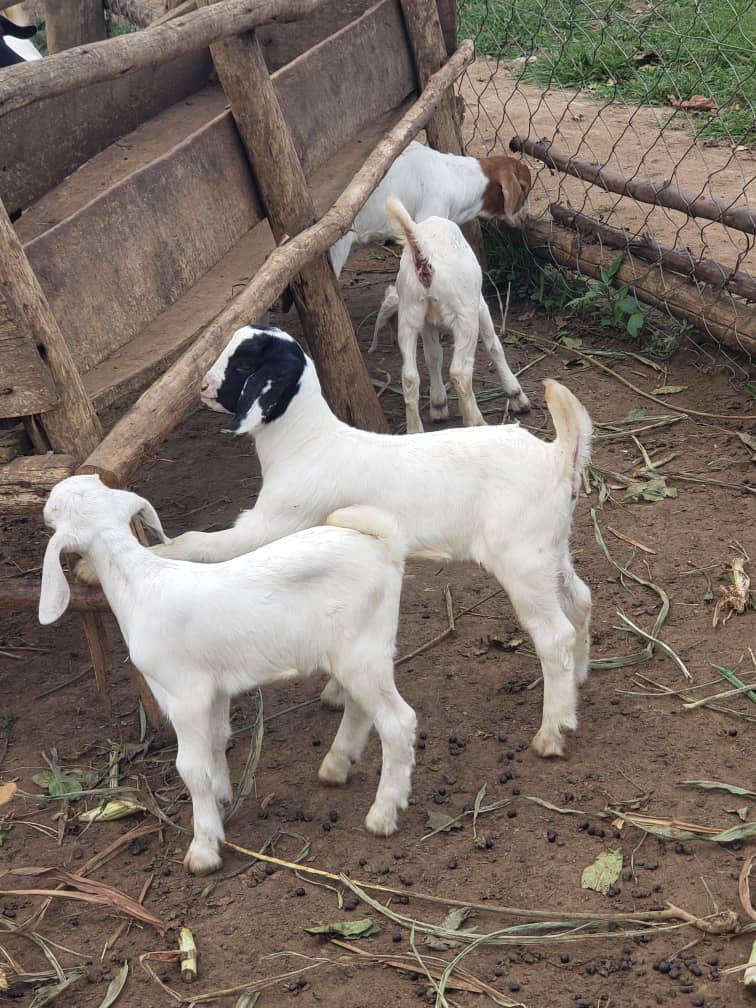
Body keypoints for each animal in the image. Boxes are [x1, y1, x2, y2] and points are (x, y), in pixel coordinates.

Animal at [42, 475, 415, 874]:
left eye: (56, 506)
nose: (45, 508)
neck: (141, 585)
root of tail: (383, 544)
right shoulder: (214, 689)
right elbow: (218, 740)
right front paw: (221, 798)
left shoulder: (183, 695)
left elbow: (191, 768)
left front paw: (204, 847)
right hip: (354, 652)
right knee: (361, 707)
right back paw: (336, 765)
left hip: (362, 651)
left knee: (397, 722)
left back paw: (383, 814)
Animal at [140, 326, 593, 759]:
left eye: (245, 363)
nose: (202, 386)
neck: (306, 445)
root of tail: (557, 456)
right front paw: (337, 693)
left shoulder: (271, 525)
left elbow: (202, 542)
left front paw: (152, 550)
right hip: (550, 548)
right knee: (580, 601)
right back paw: (578, 685)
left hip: (521, 559)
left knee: (554, 636)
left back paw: (552, 732)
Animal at [374, 193, 529, 433]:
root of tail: (423, 253)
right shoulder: (478, 303)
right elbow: (493, 344)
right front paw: (516, 395)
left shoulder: (426, 322)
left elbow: (433, 356)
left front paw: (438, 404)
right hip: (464, 314)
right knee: (459, 372)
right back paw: (476, 422)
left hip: (409, 312)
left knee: (409, 375)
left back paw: (415, 430)